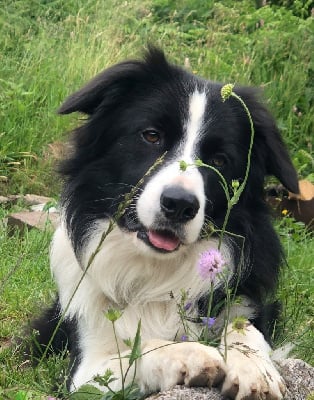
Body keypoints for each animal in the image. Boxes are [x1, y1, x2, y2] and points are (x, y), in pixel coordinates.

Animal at [30, 46, 300, 396]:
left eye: (219, 160)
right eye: (151, 136)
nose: (179, 205)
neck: (154, 271)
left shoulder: (246, 301)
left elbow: (244, 326)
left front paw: (255, 369)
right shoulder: (84, 368)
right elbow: (139, 349)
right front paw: (194, 355)